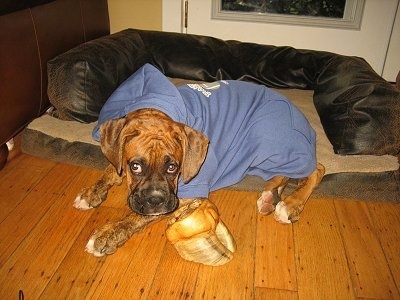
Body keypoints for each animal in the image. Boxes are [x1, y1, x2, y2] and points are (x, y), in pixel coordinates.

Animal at [74, 64, 324, 256]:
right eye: (135, 166)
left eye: (173, 167)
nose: (156, 200)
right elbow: (111, 169)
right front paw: (92, 192)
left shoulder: (187, 193)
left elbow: (136, 216)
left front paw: (108, 234)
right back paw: (270, 195)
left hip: (267, 139)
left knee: (316, 169)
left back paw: (290, 204)